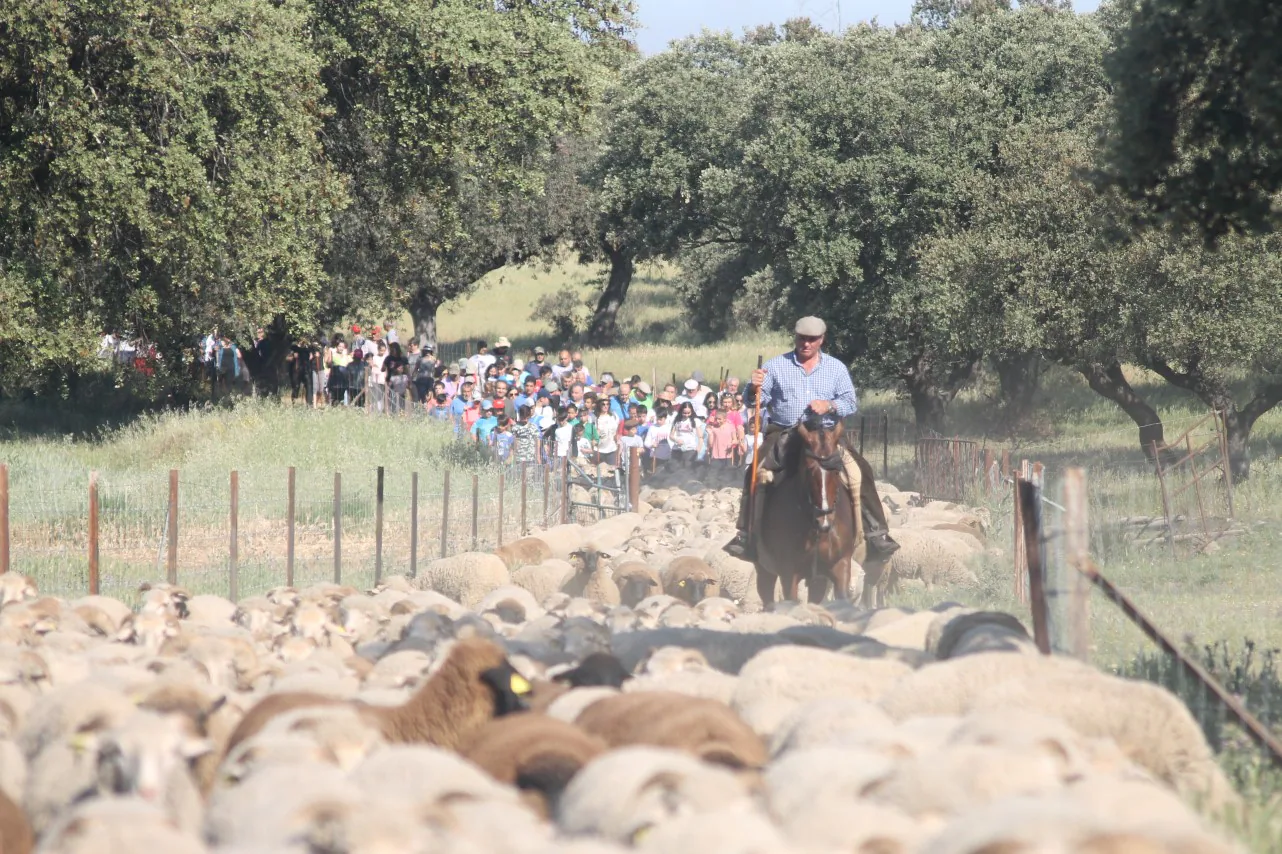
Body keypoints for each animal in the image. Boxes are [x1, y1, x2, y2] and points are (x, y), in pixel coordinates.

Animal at [748, 418, 861, 605]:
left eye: (837, 469)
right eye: (808, 469)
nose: (824, 520)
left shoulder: (841, 565)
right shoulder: (788, 573)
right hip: (764, 569)